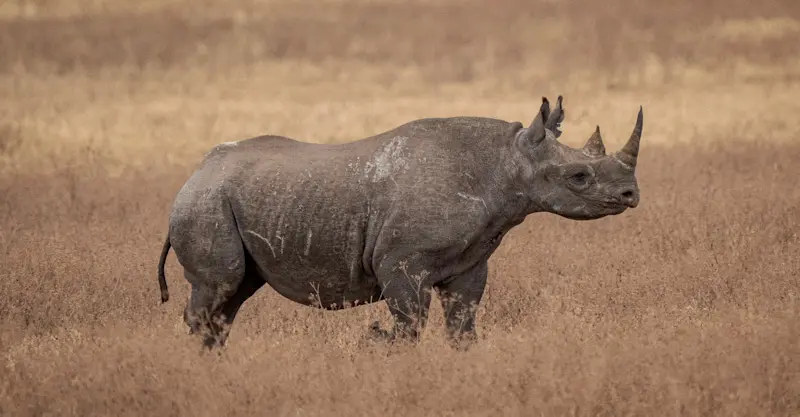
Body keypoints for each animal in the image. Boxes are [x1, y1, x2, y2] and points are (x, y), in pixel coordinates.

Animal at [157, 95, 644, 349]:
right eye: (579, 177)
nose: (630, 195)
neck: (507, 163)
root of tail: (194, 175)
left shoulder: (471, 261)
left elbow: (463, 325)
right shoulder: (401, 262)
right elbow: (409, 325)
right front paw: (384, 346)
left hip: (230, 198)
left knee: (233, 295)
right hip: (205, 203)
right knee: (220, 285)